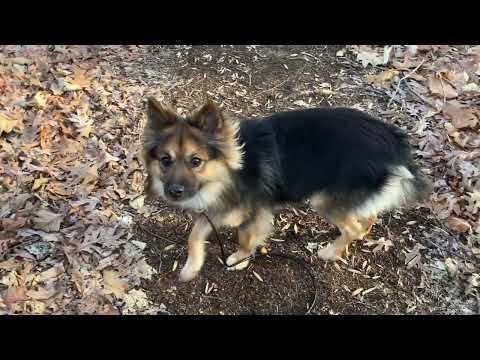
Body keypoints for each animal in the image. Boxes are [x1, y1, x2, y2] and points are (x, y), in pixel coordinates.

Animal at [142, 97, 432, 282]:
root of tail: (393, 141)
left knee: (353, 228)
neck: (229, 174)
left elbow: (245, 239)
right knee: (367, 216)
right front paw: (191, 268)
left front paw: (238, 258)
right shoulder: (216, 209)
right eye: (165, 160)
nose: (174, 192)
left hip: (324, 200)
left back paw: (330, 251)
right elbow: (194, 236)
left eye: (196, 161)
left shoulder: (253, 212)